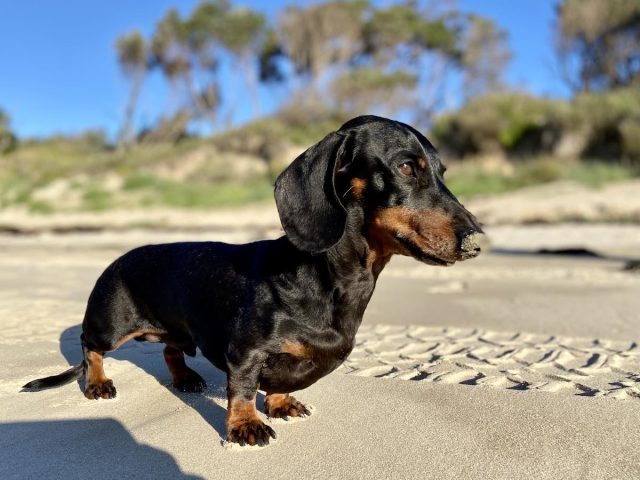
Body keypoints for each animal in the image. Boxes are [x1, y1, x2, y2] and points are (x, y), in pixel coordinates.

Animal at [23, 115, 484, 446]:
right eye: (406, 167)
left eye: (442, 171)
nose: (477, 240)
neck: (334, 279)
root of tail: (117, 259)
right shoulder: (246, 351)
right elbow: (243, 389)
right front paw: (246, 425)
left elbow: (277, 383)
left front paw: (280, 404)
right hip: (110, 325)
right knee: (89, 347)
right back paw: (98, 383)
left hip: (177, 328)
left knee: (171, 349)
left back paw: (185, 378)